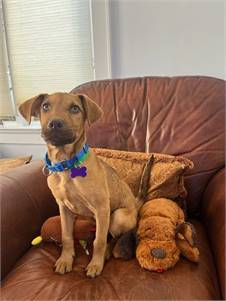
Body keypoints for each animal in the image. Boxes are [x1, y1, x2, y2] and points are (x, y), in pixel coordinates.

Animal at [19, 92, 152, 278]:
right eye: (45, 106)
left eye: (75, 108)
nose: (55, 124)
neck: (66, 166)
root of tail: (135, 203)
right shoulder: (64, 209)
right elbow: (66, 236)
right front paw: (65, 260)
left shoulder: (102, 208)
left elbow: (99, 241)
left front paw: (96, 264)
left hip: (117, 217)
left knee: (114, 237)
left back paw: (108, 252)